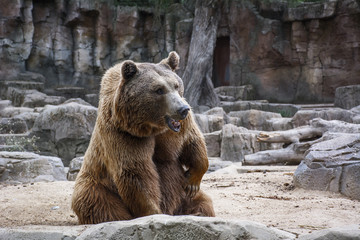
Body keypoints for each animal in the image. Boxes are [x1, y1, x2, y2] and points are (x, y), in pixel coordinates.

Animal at [71, 51, 215, 223]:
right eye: (159, 90)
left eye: (176, 85)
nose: (182, 109)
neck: (151, 126)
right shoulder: (124, 134)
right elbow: (136, 173)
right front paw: (155, 212)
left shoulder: (178, 129)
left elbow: (192, 141)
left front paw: (192, 181)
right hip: (96, 185)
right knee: (99, 203)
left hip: (182, 196)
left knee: (202, 201)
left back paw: (198, 213)